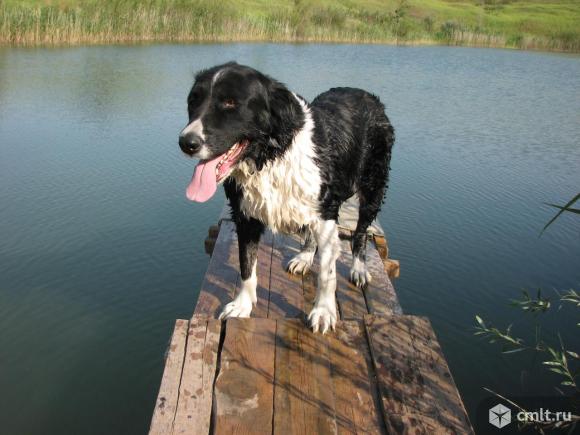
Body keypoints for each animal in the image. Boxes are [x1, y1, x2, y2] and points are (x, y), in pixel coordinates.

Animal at [178, 62, 394, 334]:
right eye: (193, 100)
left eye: (230, 102)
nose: (186, 142)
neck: (270, 156)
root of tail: (367, 95)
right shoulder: (245, 216)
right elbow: (246, 265)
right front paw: (242, 304)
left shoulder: (326, 211)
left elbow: (327, 272)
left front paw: (324, 311)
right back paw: (304, 257)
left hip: (373, 187)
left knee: (361, 230)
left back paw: (359, 267)